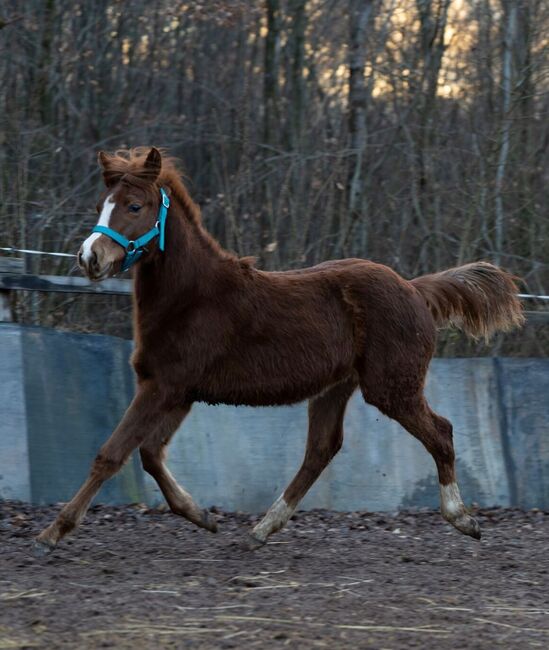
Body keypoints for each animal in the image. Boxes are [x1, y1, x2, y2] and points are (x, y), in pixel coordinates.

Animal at [33, 146, 524, 552]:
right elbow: (151, 455)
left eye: (135, 206)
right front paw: (203, 516)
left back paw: (463, 519)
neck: (192, 296)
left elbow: (111, 454)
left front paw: (53, 532)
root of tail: (415, 289)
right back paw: (262, 528)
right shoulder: (178, 391)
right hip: (335, 388)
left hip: (391, 388)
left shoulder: (163, 388)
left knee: (440, 432)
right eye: (102, 205)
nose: (90, 258)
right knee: (321, 451)